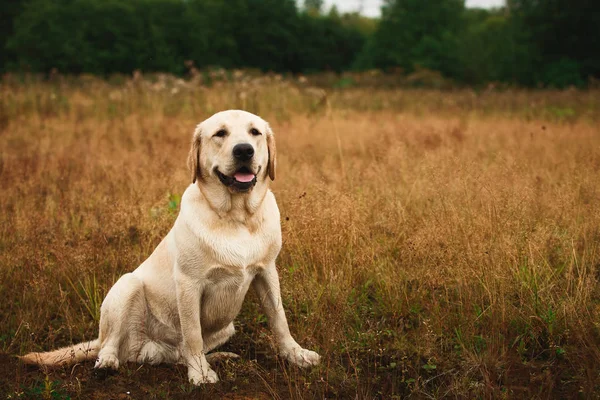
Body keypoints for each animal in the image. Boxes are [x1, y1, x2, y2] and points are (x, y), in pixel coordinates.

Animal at [22, 109, 324, 384]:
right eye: (220, 134)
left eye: (255, 132)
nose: (244, 151)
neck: (236, 217)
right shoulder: (189, 283)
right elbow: (192, 333)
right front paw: (200, 374)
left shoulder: (266, 272)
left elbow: (279, 319)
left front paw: (296, 354)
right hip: (127, 285)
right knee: (111, 344)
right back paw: (108, 362)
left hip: (227, 327)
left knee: (178, 355)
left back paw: (218, 357)